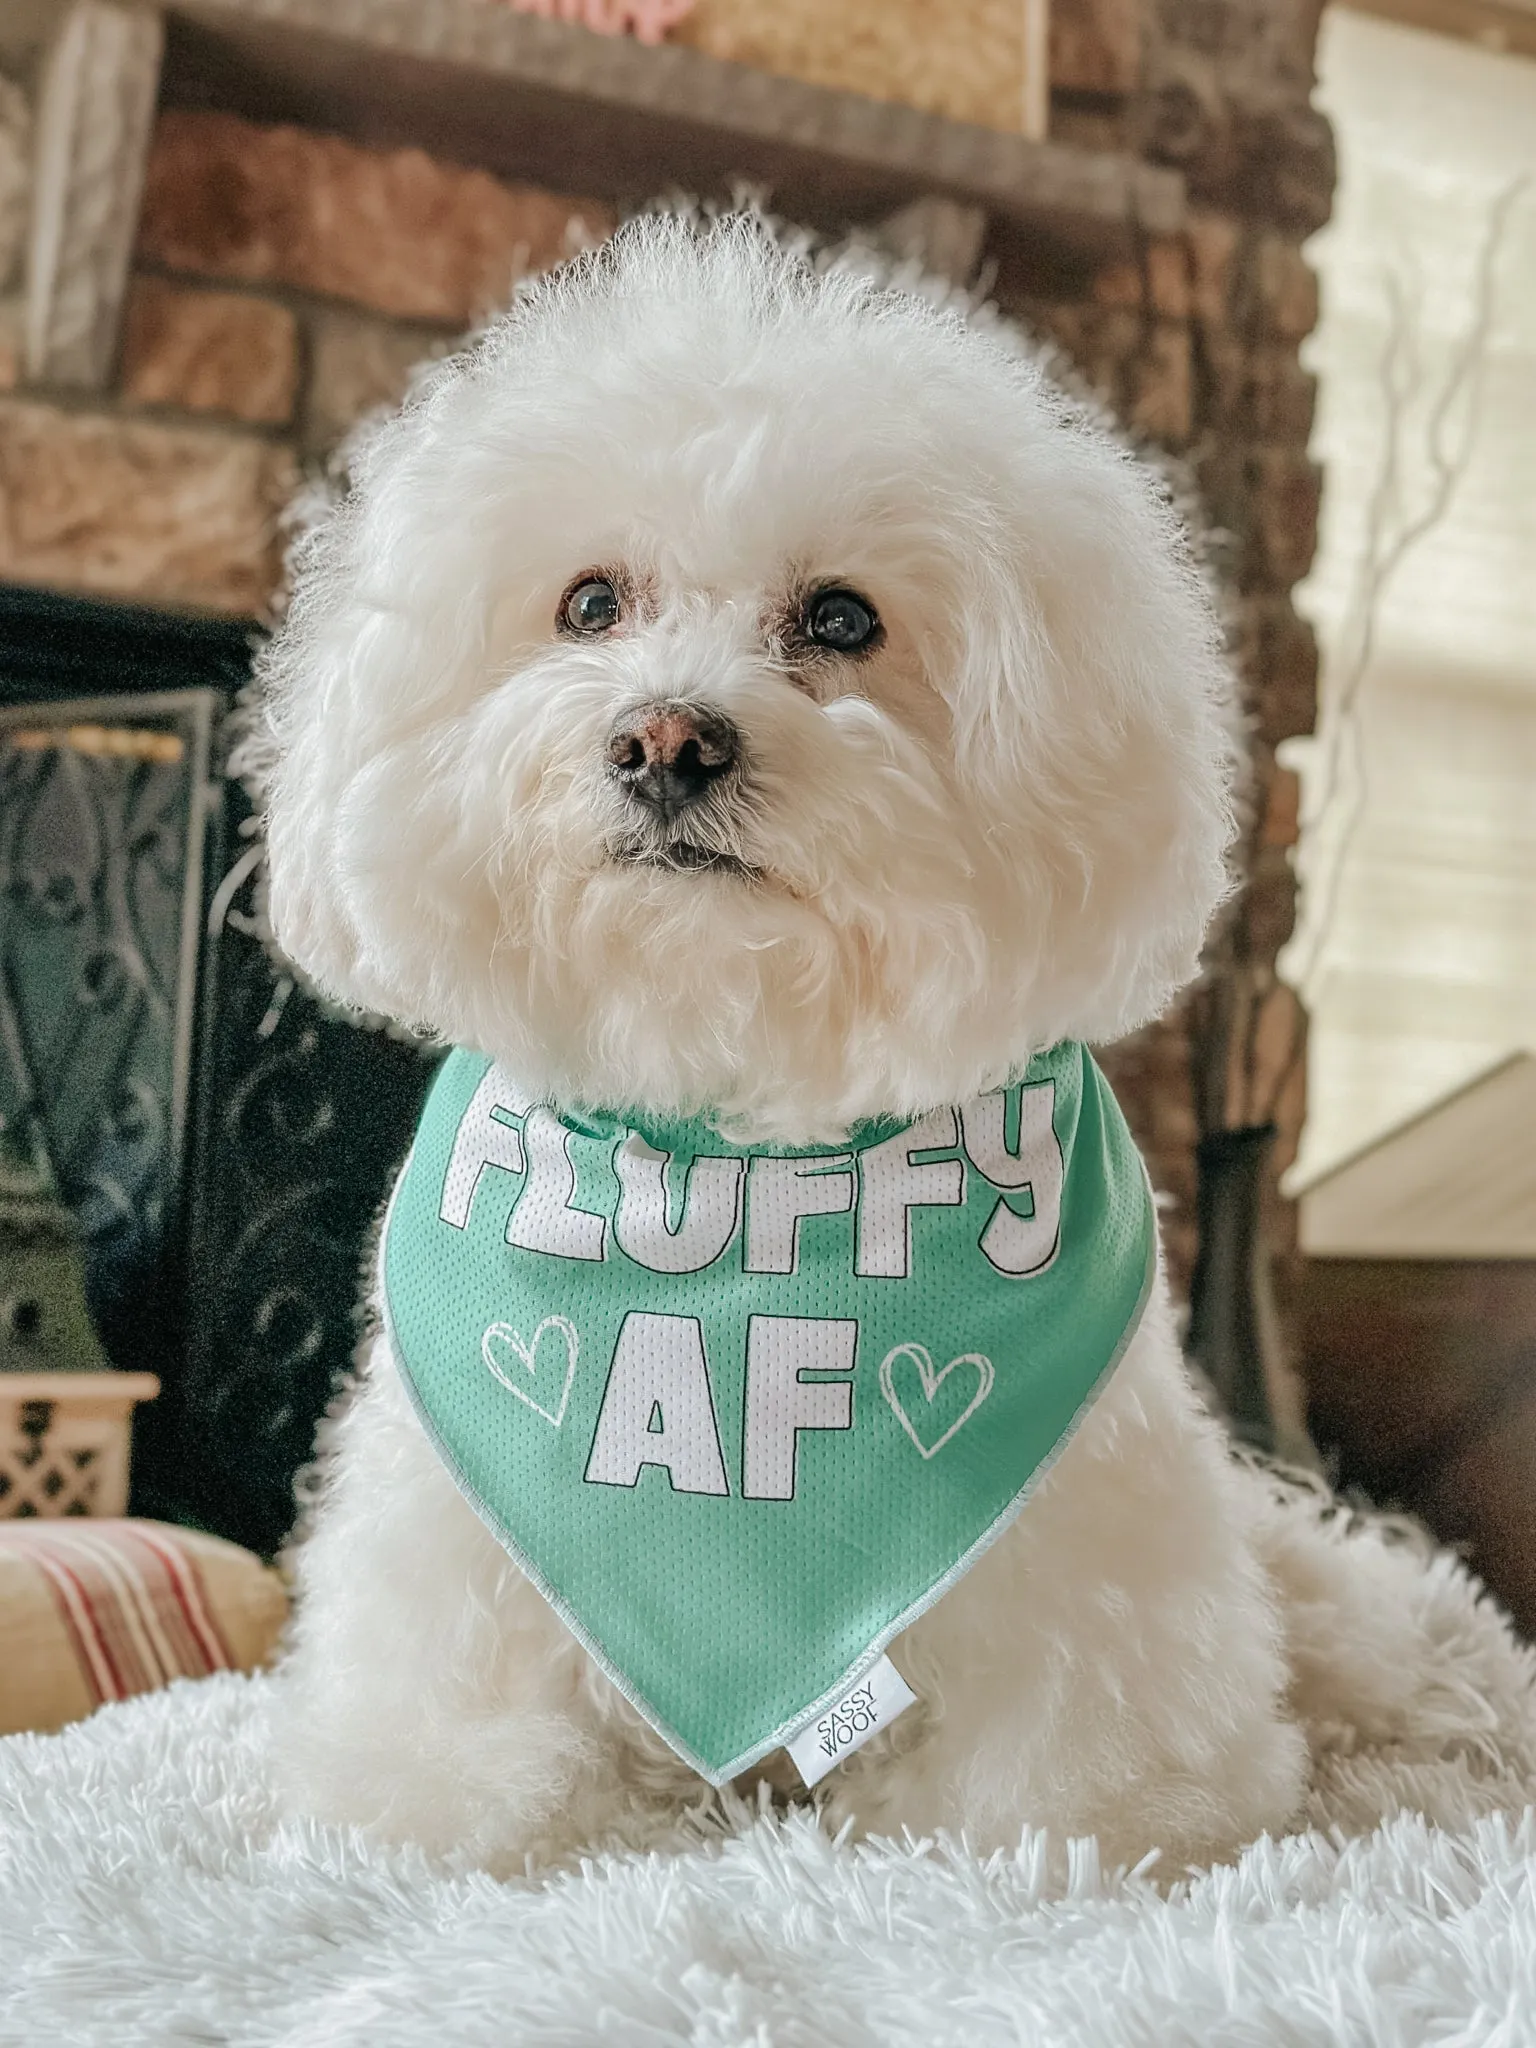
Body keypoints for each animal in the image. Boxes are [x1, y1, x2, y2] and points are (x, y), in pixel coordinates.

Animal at [252, 216, 1310, 1875]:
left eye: (842, 620)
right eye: (590, 603)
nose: (665, 741)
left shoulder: (1091, 1545)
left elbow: (1066, 1758)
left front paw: (1092, 1824)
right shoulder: (450, 1525)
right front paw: (432, 1806)